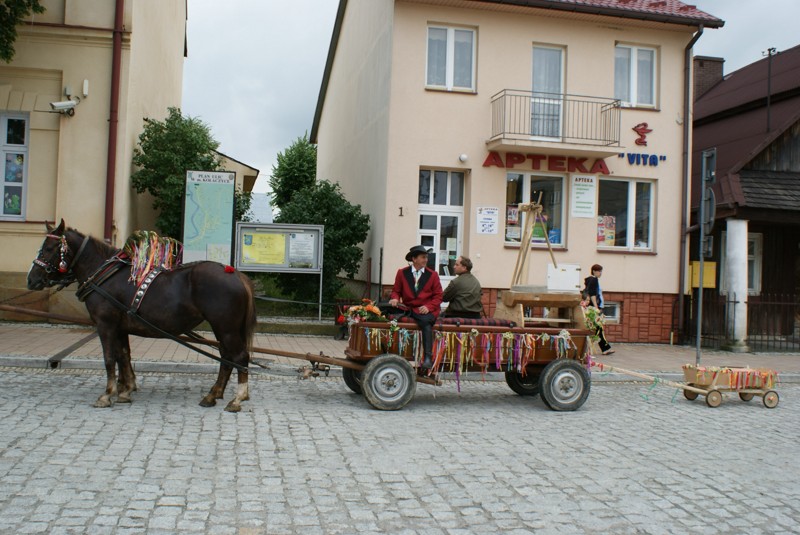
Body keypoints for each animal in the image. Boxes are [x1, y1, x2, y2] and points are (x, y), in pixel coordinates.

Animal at [27, 220, 256, 412]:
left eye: (48, 248)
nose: (31, 279)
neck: (105, 275)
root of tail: (235, 274)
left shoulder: (106, 325)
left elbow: (109, 358)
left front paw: (107, 395)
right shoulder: (120, 328)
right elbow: (124, 356)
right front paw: (125, 390)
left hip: (226, 328)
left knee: (239, 357)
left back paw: (237, 398)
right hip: (223, 329)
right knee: (226, 358)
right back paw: (213, 394)